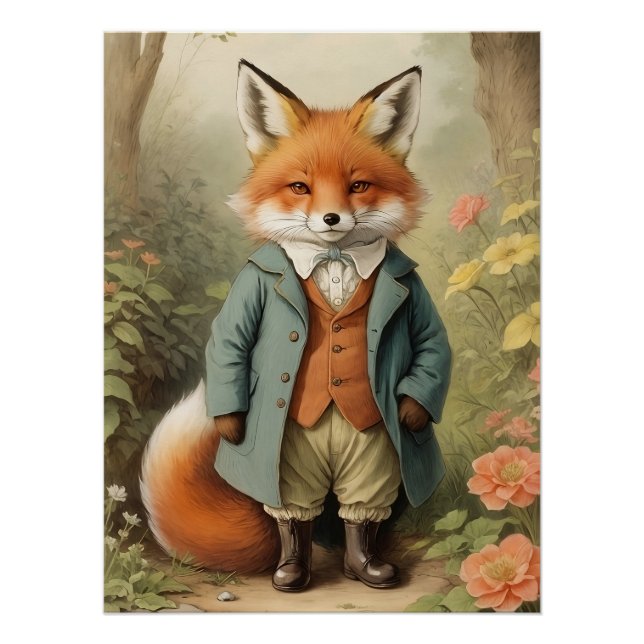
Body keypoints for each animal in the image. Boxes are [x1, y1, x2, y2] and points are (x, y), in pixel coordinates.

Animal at [140, 60, 451, 591]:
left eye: (357, 186)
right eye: (300, 187)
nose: (331, 219)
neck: (333, 259)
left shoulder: (414, 294)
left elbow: (431, 343)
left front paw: (412, 410)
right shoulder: (250, 290)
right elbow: (230, 342)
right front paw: (230, 422)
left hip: (371, 447)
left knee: (359, 505)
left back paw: (363, 565)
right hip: (289, 456)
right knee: (293, 509)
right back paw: (291, 568)